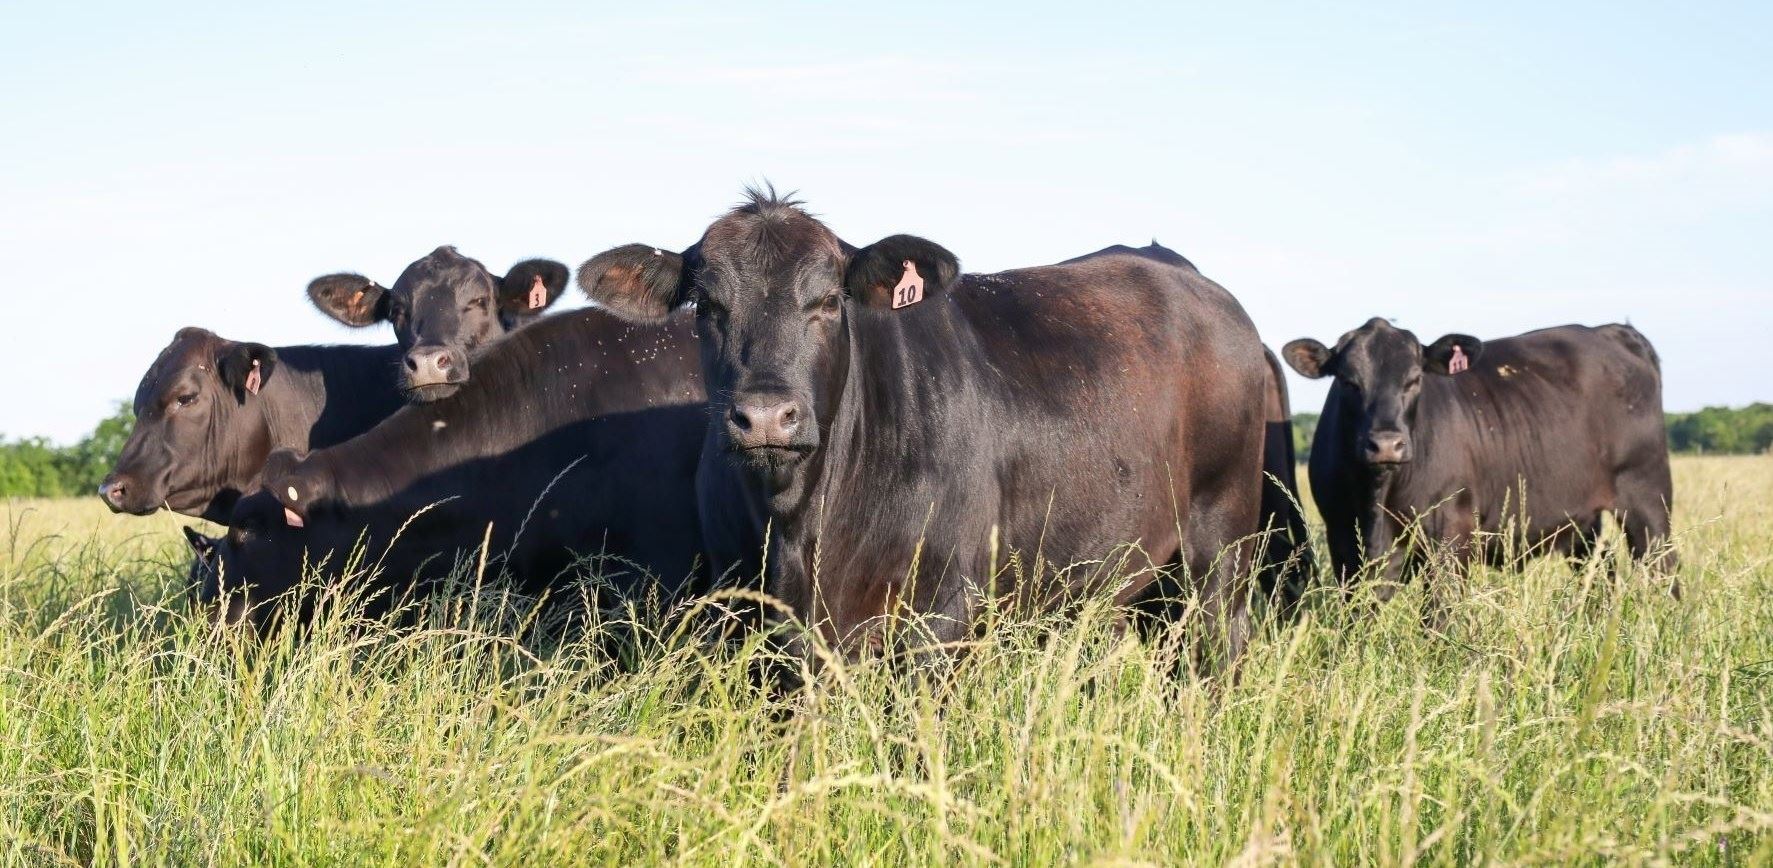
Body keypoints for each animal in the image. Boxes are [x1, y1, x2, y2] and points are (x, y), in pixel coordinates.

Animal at [581, 187, 1304, 666]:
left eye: (827, 301)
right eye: (707, 304)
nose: (765, 416)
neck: (803, 522)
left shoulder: (941, 616)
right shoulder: (749, 620)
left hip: (1221, 548)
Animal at [1290, 318, 1673, 602]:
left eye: (1414, 379)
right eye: (1348, 381)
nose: (1386, 444)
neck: (1377, 496)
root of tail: (1610, 331)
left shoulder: (1449, 536)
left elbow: (1438, 615)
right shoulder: (1343, 539)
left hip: (1648, 499)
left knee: (1663, 570)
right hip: (1581, 522)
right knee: (1601, 570)